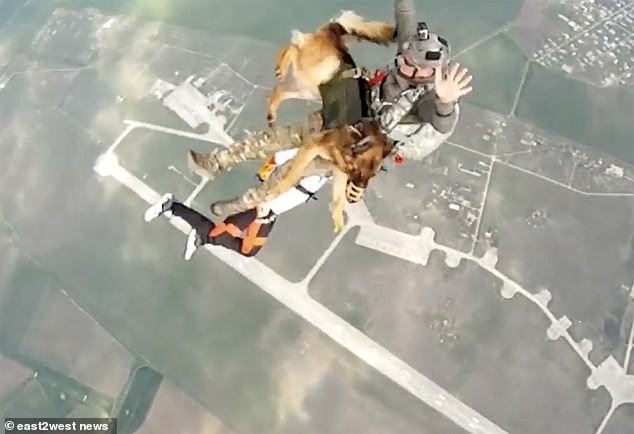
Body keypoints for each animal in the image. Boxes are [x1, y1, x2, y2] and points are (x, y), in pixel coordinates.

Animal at [264, 10, 392, 125]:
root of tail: (330, 32)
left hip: (309, 88)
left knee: (279, 90)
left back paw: (271, 114)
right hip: (317, 67)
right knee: (292, 49)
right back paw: (280, 69)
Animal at [264, 118, 392, 234]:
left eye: (373, 175)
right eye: (358, 172)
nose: (354, 199)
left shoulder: (340, 171)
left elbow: (338, 199)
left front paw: (337, 217)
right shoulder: (312, 146)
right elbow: (293, 174)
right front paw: (278, 190)